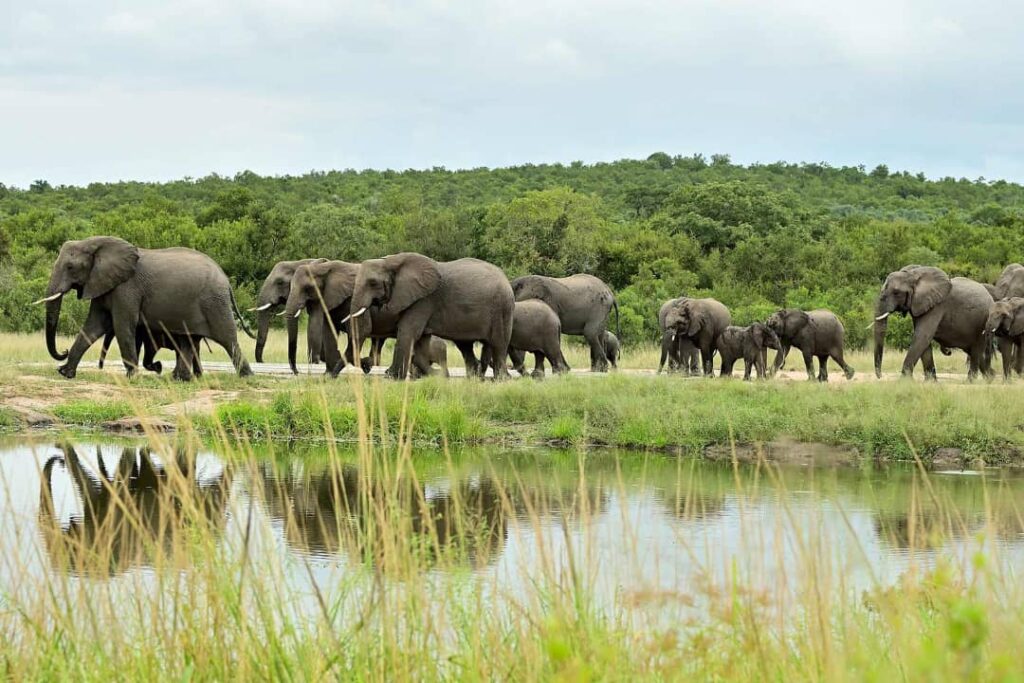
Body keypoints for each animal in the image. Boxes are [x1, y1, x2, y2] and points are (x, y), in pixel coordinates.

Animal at [38, 236, 253, 379]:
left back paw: (246, 376)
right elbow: (93, 326)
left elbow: (123, 325)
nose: (63, 351)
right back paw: (181, 379)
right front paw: (65, 373)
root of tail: (226, 280)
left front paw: (132, 377)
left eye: (70, 267)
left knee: (227, 338)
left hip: (214, 302)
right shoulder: (103, 283)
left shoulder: (127, 288)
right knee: (188, 340)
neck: (95, 243)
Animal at [346, 253, 514, 380]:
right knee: (467, 346)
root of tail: (506, 279)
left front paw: (392, 377)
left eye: (373, 283)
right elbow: (420, 340)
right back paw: (475, 377)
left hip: (502, 309)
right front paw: (437, 376)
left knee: (498, 344)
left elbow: (408, 332)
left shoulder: (424, 300)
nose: (366, 364)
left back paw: (501, 379)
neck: (391, 261)